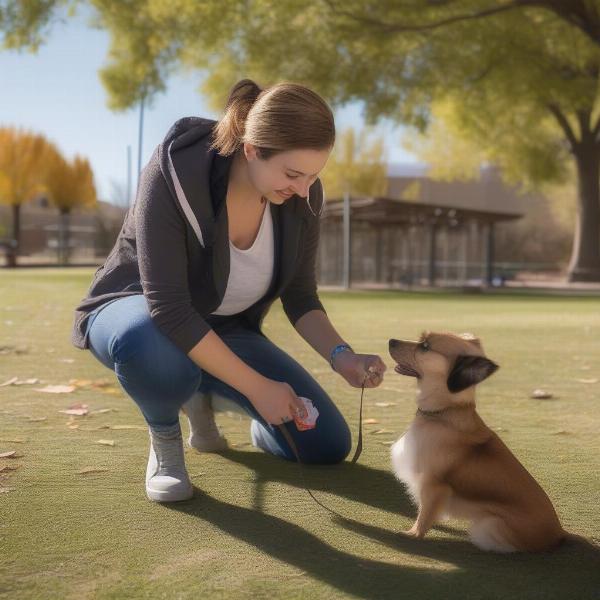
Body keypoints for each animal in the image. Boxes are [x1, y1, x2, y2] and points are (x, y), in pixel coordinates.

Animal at [386, 330, 564, 552]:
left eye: (425, 346)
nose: (391, 341)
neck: (444, 413)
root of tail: (559, 534)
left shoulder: (433, 484)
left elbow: (424, 516)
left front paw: (412, 534)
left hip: (491, 525)